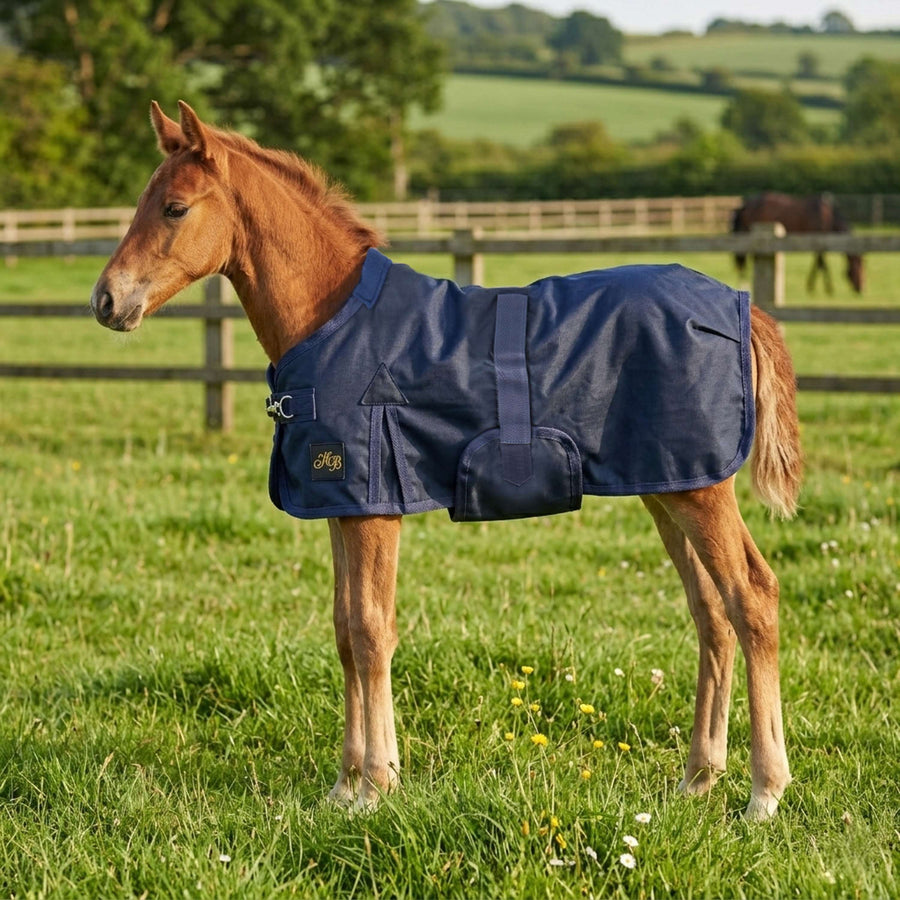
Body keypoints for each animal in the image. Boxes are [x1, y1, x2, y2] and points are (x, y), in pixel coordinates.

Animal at [91, 102, 802, 821]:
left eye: (175, 208)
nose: (106, 301)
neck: (335, 319)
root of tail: (739, 308)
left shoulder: (376, 508)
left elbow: (372, 631)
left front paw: (376, 784)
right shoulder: (341, 503)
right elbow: (344, 632)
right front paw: (343, 787)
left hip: (700, 490)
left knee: (752, 597)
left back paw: (764, 793)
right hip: (668, 485)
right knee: (711, 612)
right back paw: (698, 778)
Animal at [731, 191, 864, 294]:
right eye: (858, 267)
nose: (860, 289)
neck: (827, 217)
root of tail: (747, 205)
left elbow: (819, 264)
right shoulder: (818, 242)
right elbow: (821, 264)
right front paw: (825, 288)